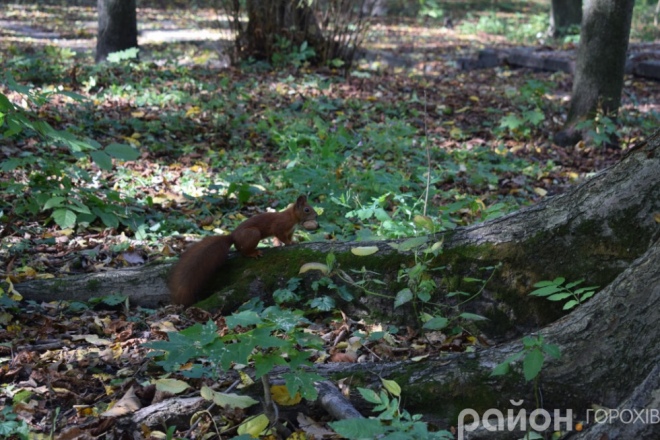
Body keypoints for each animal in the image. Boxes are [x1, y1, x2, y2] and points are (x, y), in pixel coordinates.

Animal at [168, 195, 318, 306]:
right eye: (307, 210)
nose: (316, 216)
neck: (292, 217)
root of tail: (232, 237)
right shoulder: (280, 227)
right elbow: (280, 236)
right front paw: (288, 243)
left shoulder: (290, 231)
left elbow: (289, 238)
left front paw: (293, 242)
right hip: (253, 234)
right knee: (243, 252)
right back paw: (254, 253)